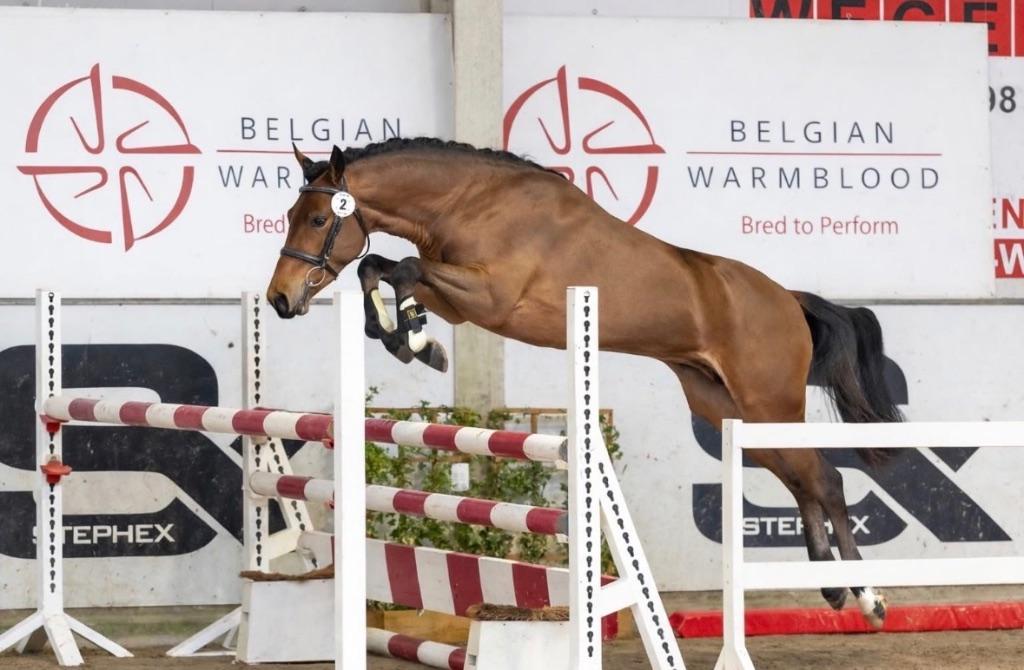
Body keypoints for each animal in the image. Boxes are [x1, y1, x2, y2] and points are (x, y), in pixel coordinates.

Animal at [266, 137, 902, 627]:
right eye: (292, 217)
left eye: (319, 220)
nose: (279, 300)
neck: (469, 203)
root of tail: (787, 299)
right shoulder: (463, 302)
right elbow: (382, 270)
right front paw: (412, 340)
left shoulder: (490, 296)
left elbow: (402, 268)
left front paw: (415, 343)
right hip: (723, 406)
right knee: (802, 479)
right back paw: (833, 588)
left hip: (768, 400)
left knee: (826, 479)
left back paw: (869, 598)